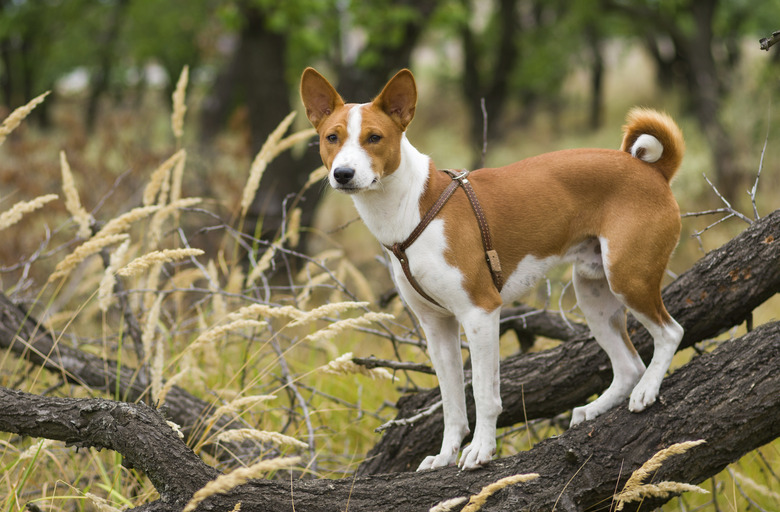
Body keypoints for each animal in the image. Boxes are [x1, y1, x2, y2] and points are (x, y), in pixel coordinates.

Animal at [298, 68, 684, 472]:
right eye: (332, 137)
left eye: (374, 137)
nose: (343, 173)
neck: (409, 210)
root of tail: (653, 170)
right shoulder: (437, 326)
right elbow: (452, 403)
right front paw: (445, 455)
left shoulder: (481, 311)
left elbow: (484, 395)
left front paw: (481, 451)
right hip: (594, 293)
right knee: (628, 365)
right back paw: (595, 409)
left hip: (629, 277)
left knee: (670, 333)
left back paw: (647, 390)